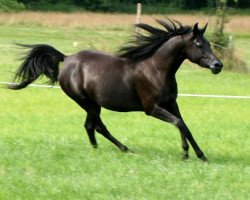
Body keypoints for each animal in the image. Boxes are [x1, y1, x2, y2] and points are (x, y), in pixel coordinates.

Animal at [7, 19, 223, 162]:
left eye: (209, 43)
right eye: (199, 44)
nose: (218, 65)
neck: (155, 68)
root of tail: (66, 58)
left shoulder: (171, 103)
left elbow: (184, 125)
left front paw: (201, 155)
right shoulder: (151, 108)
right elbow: (178, 123)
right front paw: (185, 153)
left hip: (92, 104)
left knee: (89, 126)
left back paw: (96, 150)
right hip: (86, 102)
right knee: (98, 127)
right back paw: (125, 149)